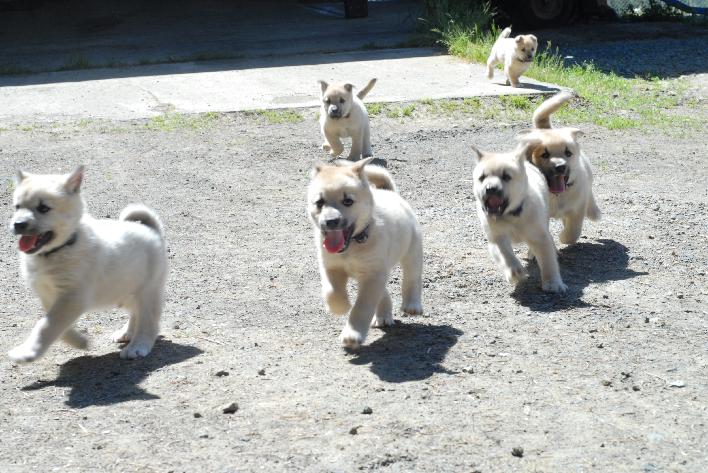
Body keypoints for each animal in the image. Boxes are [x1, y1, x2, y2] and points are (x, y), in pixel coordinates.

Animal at [9, 166, 167, 362]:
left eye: (43, 208)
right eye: (17, 207)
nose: (18, 224)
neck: (63, 247)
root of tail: (152, 230)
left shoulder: (72, 297)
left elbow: (46, 325)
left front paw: (27, 352)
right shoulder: (49, 296)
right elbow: (56, 325)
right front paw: (79, 342)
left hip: (148, 290)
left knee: (148, 320)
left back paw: (138, 346)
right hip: (127, 289)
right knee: (135, 312)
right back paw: (127, 333)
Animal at [306, 159, 424, 346]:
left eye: (348, 201)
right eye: (319, 202)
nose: (331, 221)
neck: (353, 245)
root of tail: (388, 192)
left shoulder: (372, 275)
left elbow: (362, 306)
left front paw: (352, 334)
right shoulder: (331, 268)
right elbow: (332, 292)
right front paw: (341, 306)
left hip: (412, 250)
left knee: (412, 277)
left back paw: (412, 305)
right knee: (384, 291)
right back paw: (383, 316)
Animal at [472, 145, 568, 292]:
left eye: (506, 176)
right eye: (482, 177)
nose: (490, 188)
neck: (510, 215)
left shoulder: (540, 236)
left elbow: (548, 261)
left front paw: (553, 283)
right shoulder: (496, 238)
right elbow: (505, 255)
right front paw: (515, 271)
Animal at [516, 90, 600, 243]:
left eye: (568, 153)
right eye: (544, 154)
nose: (560, 166)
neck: (556, 195)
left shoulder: (577, 208)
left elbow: (573, 230)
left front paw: (564, 238)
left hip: (587, 176)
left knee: (589, 194)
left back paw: (594, 212)